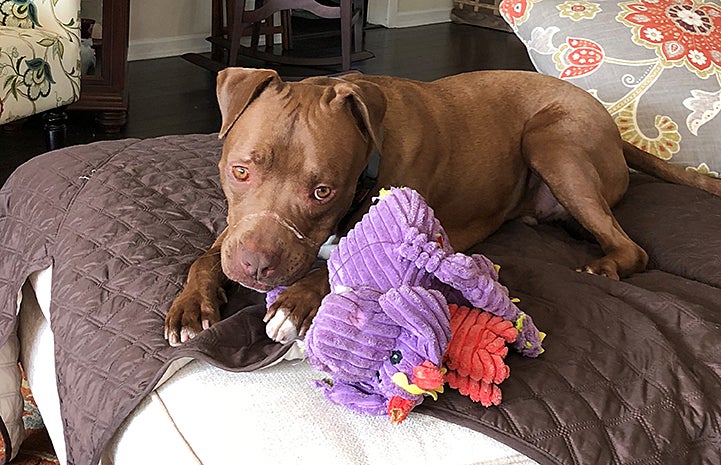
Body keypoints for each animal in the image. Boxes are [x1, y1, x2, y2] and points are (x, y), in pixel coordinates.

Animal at [163, 66, 720, 344]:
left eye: (322, 191)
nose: (256, 266)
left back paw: (603, 267)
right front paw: (191, 306)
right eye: (240, 171)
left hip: (553, 139)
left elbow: (343, 265)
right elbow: (206, 257)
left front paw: (295, 302)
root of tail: (612, 124)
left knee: (633, 249)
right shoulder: (234, 230)